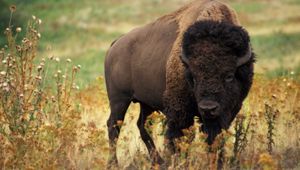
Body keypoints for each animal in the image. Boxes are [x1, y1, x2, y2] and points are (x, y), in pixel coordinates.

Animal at [104, 0, 254, 165]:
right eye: (193, 77)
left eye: (229, 76)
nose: (208, 108)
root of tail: (115, 44)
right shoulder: (180, 112)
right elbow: (179, 138)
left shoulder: (226, 113)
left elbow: (214, 138)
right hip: (119, 100)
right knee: (113, 126)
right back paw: (114, 163)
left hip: (146, 103)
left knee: (142, 125)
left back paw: (159, 162)